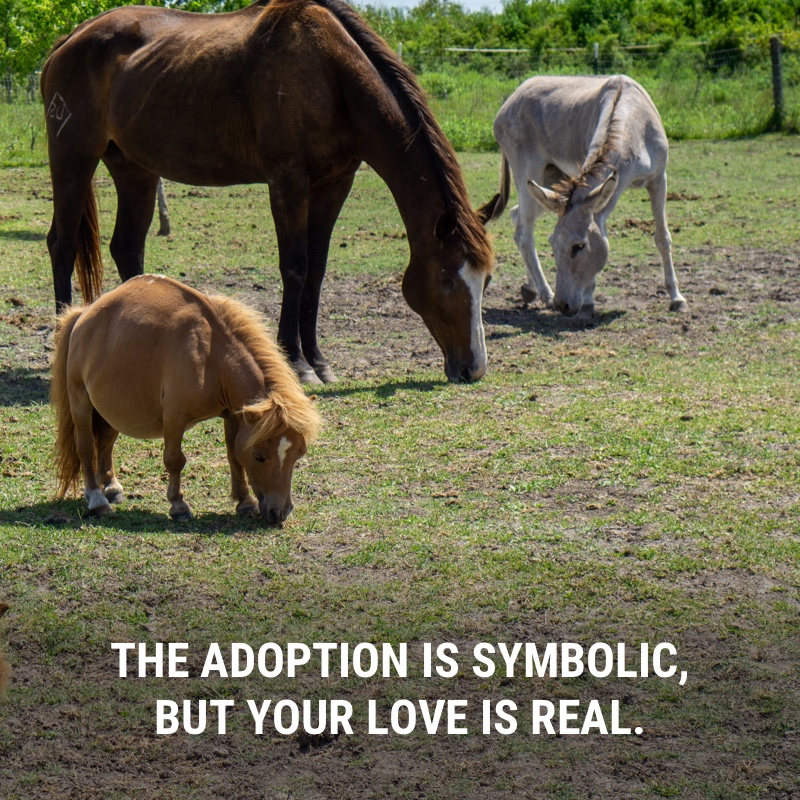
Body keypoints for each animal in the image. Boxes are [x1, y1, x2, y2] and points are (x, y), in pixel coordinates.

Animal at [41, 0, 498, 385]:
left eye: (487, 280)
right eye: (445, 280)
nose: (473, 368)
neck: (332, 75)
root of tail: (69, 40)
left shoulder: (335, 184)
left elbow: (316, 271)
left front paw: (318, 361)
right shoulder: (288, 181)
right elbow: (295, 268)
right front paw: (296, 362)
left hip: (135, 169)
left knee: (127, 247)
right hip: (73, 159)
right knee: (62, 244)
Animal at [51, 275, 322, 524]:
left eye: (299, 454)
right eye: (259, 456)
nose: (280, 512)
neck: (212, 357)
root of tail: (82, 315)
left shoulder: (233, 415)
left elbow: (234, 455)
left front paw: (245, 502)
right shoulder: (174, 417)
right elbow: (174, 460)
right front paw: (178, 505)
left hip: (110, 410)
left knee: (105, 443)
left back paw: (111, 487)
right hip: (81, 403)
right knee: (86, 447)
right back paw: (97, 500)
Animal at [490, 75, 687, 317]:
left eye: (579, 246)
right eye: (553, 244)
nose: (563, 306)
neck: (633, 123)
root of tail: (514, 95)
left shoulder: (659, 179)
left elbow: (662, 238)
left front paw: (677, 298)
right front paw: (588, 301)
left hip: (550, 183)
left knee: (517, 216)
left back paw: (530, 288)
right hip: (529, 172)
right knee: (524, 234)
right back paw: (545, 293)